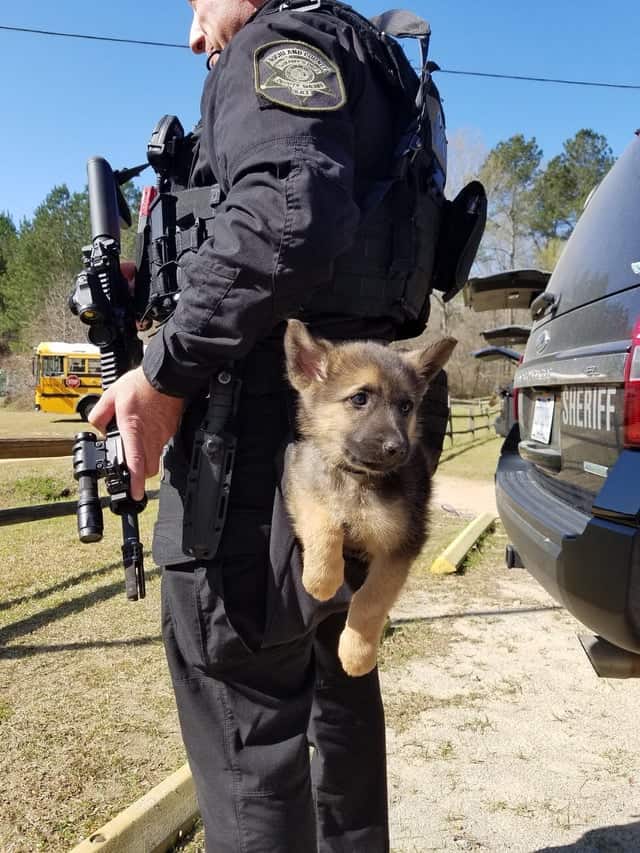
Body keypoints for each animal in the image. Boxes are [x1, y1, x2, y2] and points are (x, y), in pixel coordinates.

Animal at [284, 322, 456, 680]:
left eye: (406, 406)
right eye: (359, 398)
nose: (397, 449)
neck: (357, 481)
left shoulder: (401, 546)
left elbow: (371, 599)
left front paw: (357, 655)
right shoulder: (301, 484)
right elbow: (323, 523)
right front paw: (321, 580)